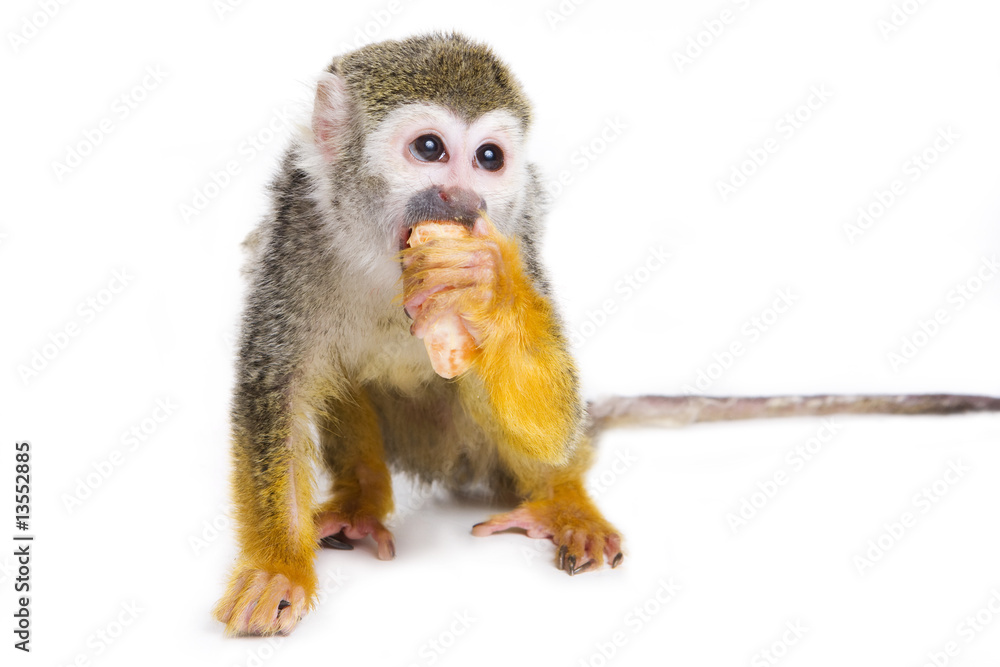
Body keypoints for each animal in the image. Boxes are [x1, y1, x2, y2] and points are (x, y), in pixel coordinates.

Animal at [213, 32, 1000, 636]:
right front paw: (278, 568)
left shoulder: (516, 233)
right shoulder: (295, 229)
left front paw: (490, 294)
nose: (463, 201)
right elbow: (276, 390)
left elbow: (551, 416)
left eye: (489, 160)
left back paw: (564, 499)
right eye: (430, 148)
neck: (385, 256)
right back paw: (363, 499)